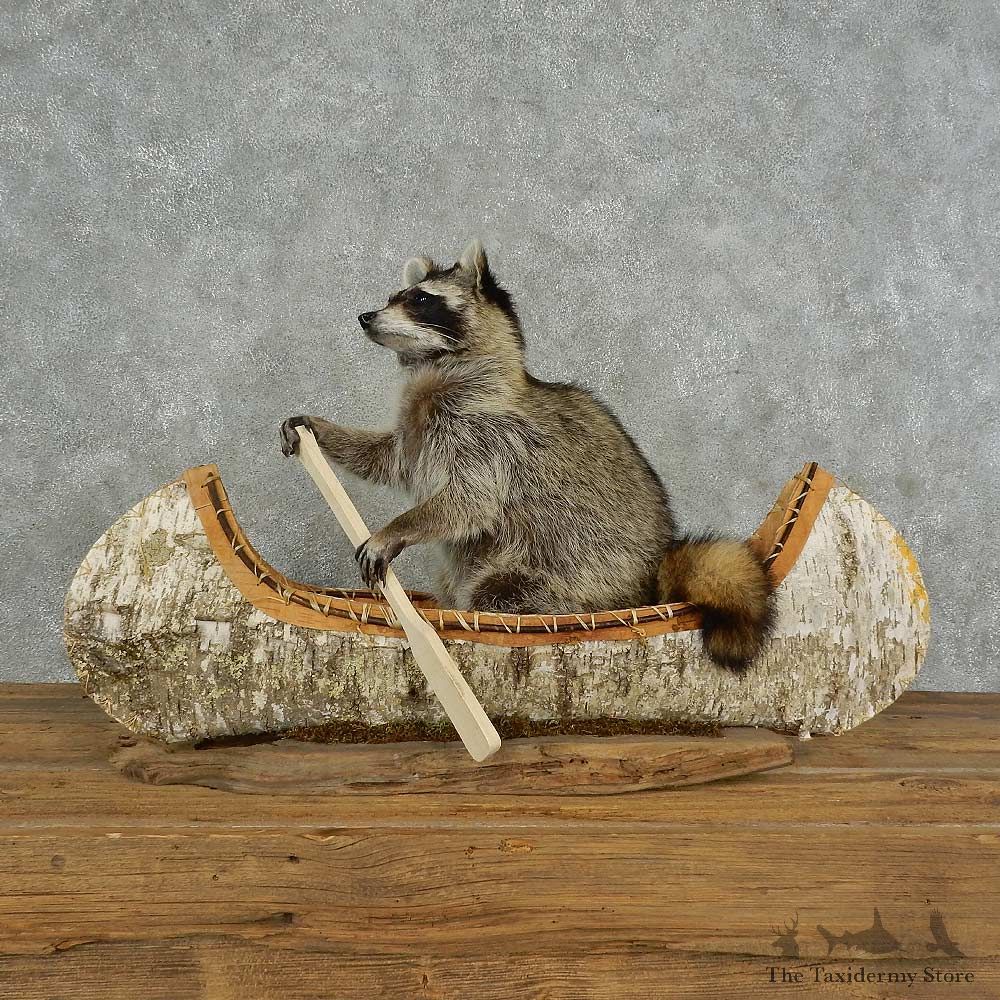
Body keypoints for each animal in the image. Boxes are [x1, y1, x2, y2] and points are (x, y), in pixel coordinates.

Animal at [281, 240, 774, 671]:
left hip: (568, 573)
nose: (365, 317)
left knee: (501, 592)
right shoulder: (420, 433)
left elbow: (470, 502)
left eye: (420, 298)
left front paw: (394, 529)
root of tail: (650, 586)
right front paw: (321, 431)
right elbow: (387, 458)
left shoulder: (491, 436)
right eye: (392, 298)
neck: (437, 369)